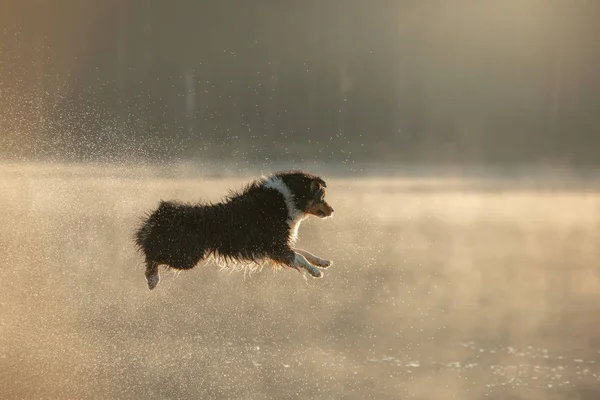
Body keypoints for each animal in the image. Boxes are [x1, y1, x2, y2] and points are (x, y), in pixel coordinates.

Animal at [134, 170, 336, 290]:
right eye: (322, 196)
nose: (332, 210)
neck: (284, 199)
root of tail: (160, 214)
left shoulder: (276, 246)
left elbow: (303, 251)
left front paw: (322, 262)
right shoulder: (275, 247)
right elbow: (299, 256)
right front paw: (315, 271)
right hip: (187, 256)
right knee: (152, 256)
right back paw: (153, 279)